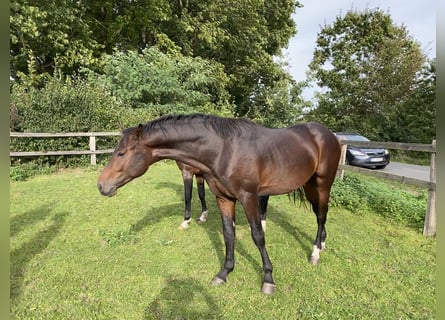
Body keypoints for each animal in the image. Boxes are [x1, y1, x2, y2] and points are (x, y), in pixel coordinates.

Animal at [98, 114, 340, 294]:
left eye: (121, 153)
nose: (101, 185)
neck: (224, 149)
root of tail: (330, 135)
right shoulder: (224, 198)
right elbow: (228, 234)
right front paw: (224, 273)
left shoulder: (248, 197)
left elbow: (257, 236)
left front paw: (268, 279)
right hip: (310, 185)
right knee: (320, 214)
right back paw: (322, 244)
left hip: (322, 184)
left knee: (321, 215)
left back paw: (315, 254)